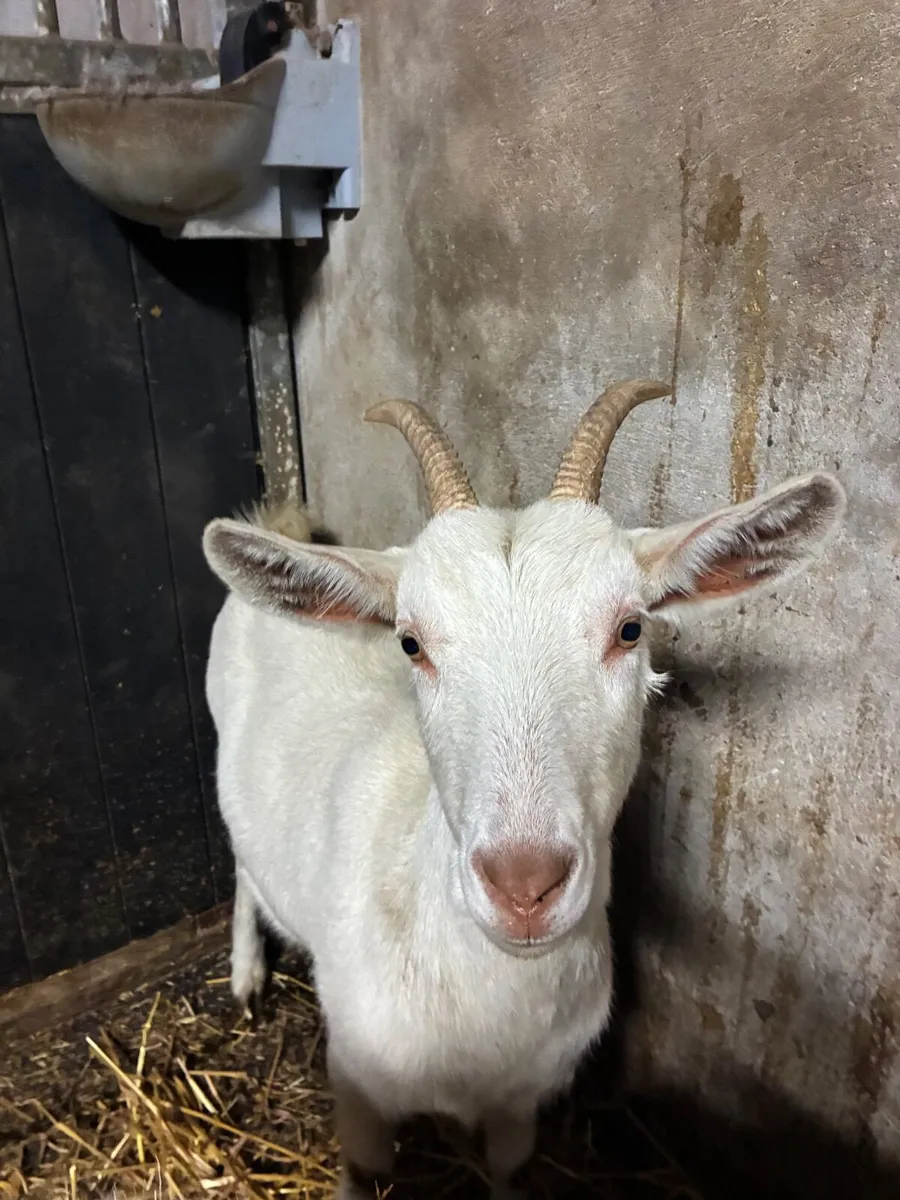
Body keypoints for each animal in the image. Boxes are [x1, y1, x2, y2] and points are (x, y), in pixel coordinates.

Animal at [202, 381, 845, 1199]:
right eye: (410, 642)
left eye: (630, 629)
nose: (524, 885)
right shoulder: (356, 1085)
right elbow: (363, 1170)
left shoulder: (522, 1100)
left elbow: (507, 1170)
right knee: (240, 864)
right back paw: (246, 974)